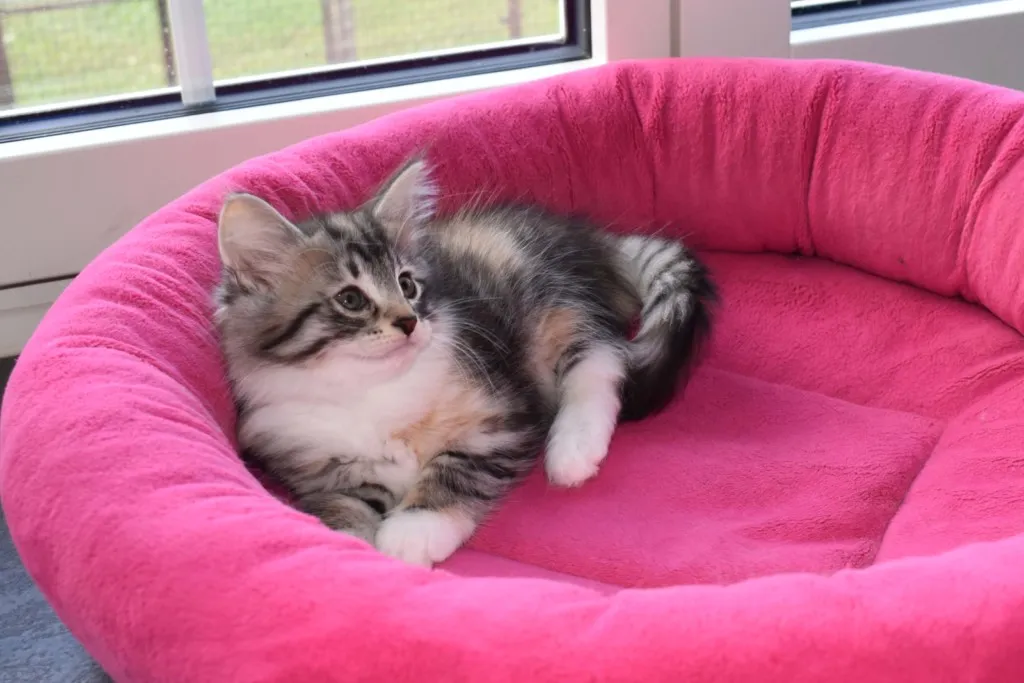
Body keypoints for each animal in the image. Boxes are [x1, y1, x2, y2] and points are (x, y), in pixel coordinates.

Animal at [214, 157, 716, 567]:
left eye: (407, 285)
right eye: (351, 299)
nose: (410, 322)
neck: (368, 390)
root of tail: (590, 238)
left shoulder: (502, 417)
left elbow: (455, 468)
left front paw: (412, 531)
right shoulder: (322, 472)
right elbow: (343, 509)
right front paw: (352, 549)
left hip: (551, 303)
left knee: (600, 357)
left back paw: (574, 449)